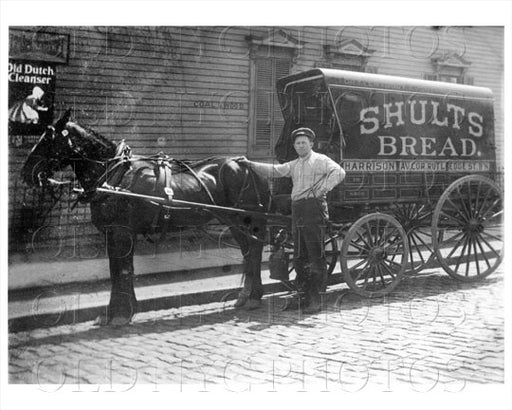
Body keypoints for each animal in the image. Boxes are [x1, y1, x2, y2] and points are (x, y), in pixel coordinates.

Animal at [21, 109, 272, 326]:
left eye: (48, 139)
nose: (26, 173)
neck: (113, 176)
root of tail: (246, 164)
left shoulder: (121, 232)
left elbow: (122, 271)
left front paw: (120, 314)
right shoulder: (115, 233)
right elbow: (118, 270)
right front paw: (117, 313)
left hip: (246, 221)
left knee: (255, 253)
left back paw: (253, 297)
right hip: (235, 224)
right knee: (249, 254)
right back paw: (247, 296)